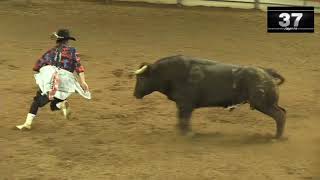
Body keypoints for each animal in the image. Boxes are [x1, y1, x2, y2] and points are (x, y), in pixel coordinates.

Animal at [134, 54, 286, 138]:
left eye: (141, 78)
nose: (135, 94)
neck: (171, 73)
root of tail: (267, 72)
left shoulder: (186, 105)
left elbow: (185, 119)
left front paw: (188, 133)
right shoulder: (181, 105)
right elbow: (181, 118)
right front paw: (181, 131)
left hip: (264, 104)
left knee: (279, 116)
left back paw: (276, 137)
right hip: (268, 103)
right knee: (282, 113)